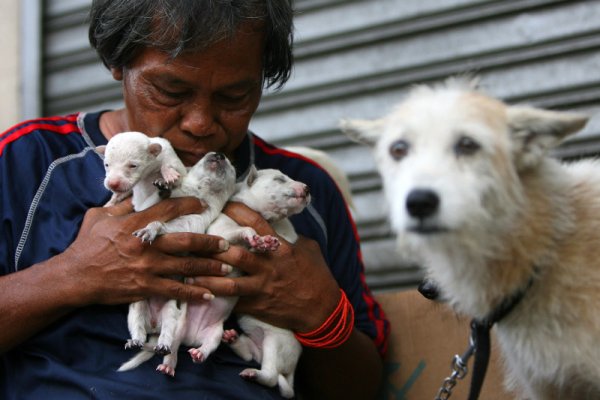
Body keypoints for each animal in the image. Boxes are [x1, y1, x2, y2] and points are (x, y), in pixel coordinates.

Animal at [213, 166, 310, 396]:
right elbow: (233, 231)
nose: (307, 188)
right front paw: (255, 239)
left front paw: (261, 243)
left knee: (272, 376)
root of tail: (291, 370)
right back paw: (233, 340)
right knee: (250, 354)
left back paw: (255, 374)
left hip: (275, 343)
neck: (269, 218)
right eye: (279, 179)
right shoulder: (219, 230)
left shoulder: (286, 237)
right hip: (256, 344)